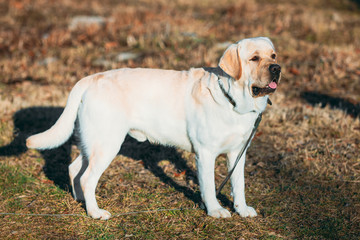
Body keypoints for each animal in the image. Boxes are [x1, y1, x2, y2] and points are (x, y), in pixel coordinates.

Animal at [27, 37, 282, 219]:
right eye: (254, 58)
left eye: (273, 55)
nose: (277, 68)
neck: (234, 101)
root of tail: (91, 78)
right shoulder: (205, 153)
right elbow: (209, 187)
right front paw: (215, 211)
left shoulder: (238, 153)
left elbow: (239, 185)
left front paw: (242, 209)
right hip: (108, 143)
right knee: (87, 177)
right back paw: (95, 213)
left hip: (94, 141)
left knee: (74, 170)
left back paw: (81, 201)